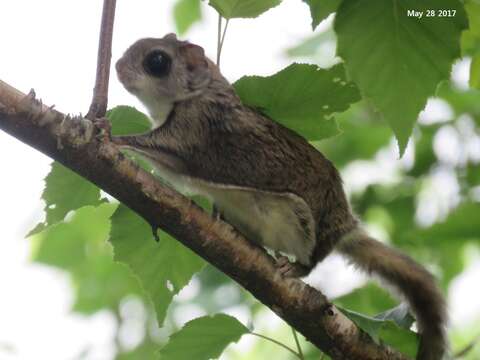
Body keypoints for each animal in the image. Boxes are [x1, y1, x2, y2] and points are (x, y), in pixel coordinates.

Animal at [111, 33, 446, 360]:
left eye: (157, 60)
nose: (117, 67)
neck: (195, 94)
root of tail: (345, 226)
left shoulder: (193, 130)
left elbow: (154, 148)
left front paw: (111, 136)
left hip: (308, 223)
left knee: (314, 257)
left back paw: (295, 267)